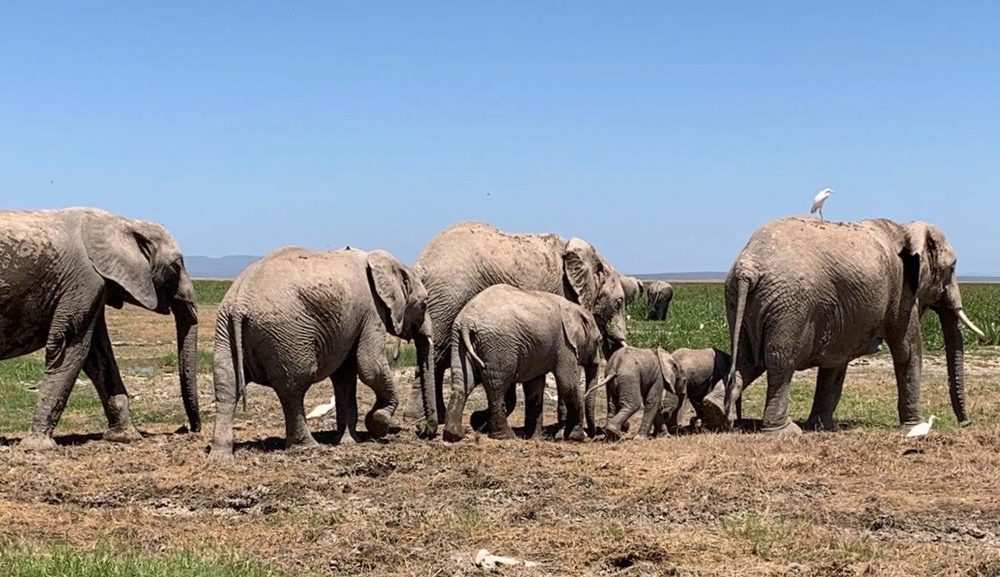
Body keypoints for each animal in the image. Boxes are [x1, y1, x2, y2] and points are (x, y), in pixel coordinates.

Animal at [0, 208, 200, 450]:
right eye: (176, 265)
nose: (190, 430)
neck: (124, 222)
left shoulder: (95, 287)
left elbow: (98, 355)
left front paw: (125, 437)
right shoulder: (84, 281)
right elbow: (70, 349)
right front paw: (37, 446)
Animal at [209, 247, 434, 458]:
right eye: (424, 303)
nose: (423, 431)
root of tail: (240, 303)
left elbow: (344, 376)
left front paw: (349, 441)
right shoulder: (372, 312)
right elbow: (370, 367)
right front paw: (378, 422)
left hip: (224, 328)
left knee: (226, 386)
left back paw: (220, 456)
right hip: (286, 335)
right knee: (293, 388)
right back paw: (308, 446)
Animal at [442, 285, 603, 442]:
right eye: (599, 341)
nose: (593, 435)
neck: (575, 308)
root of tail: (467, 320)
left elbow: (535, 387)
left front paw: (536, 438)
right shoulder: (564, 345)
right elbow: (567, 384)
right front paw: (577, 437)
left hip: (458, 340)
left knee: (463, 382)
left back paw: (454, 435)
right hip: (499, 345)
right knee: (497, 387)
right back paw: (506, 436)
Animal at [704, 217, 984, 435]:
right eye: (952, 268)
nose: (966, 423)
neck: (905, 227)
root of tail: (748, 267)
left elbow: (836, 362)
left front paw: (823, 427)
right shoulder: (902, 293)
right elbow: (908, 351)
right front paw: (915, 426)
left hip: (741, 300)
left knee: (747, 360)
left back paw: (715, 412)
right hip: (790, 305)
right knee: (780, 363)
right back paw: (784, 431)